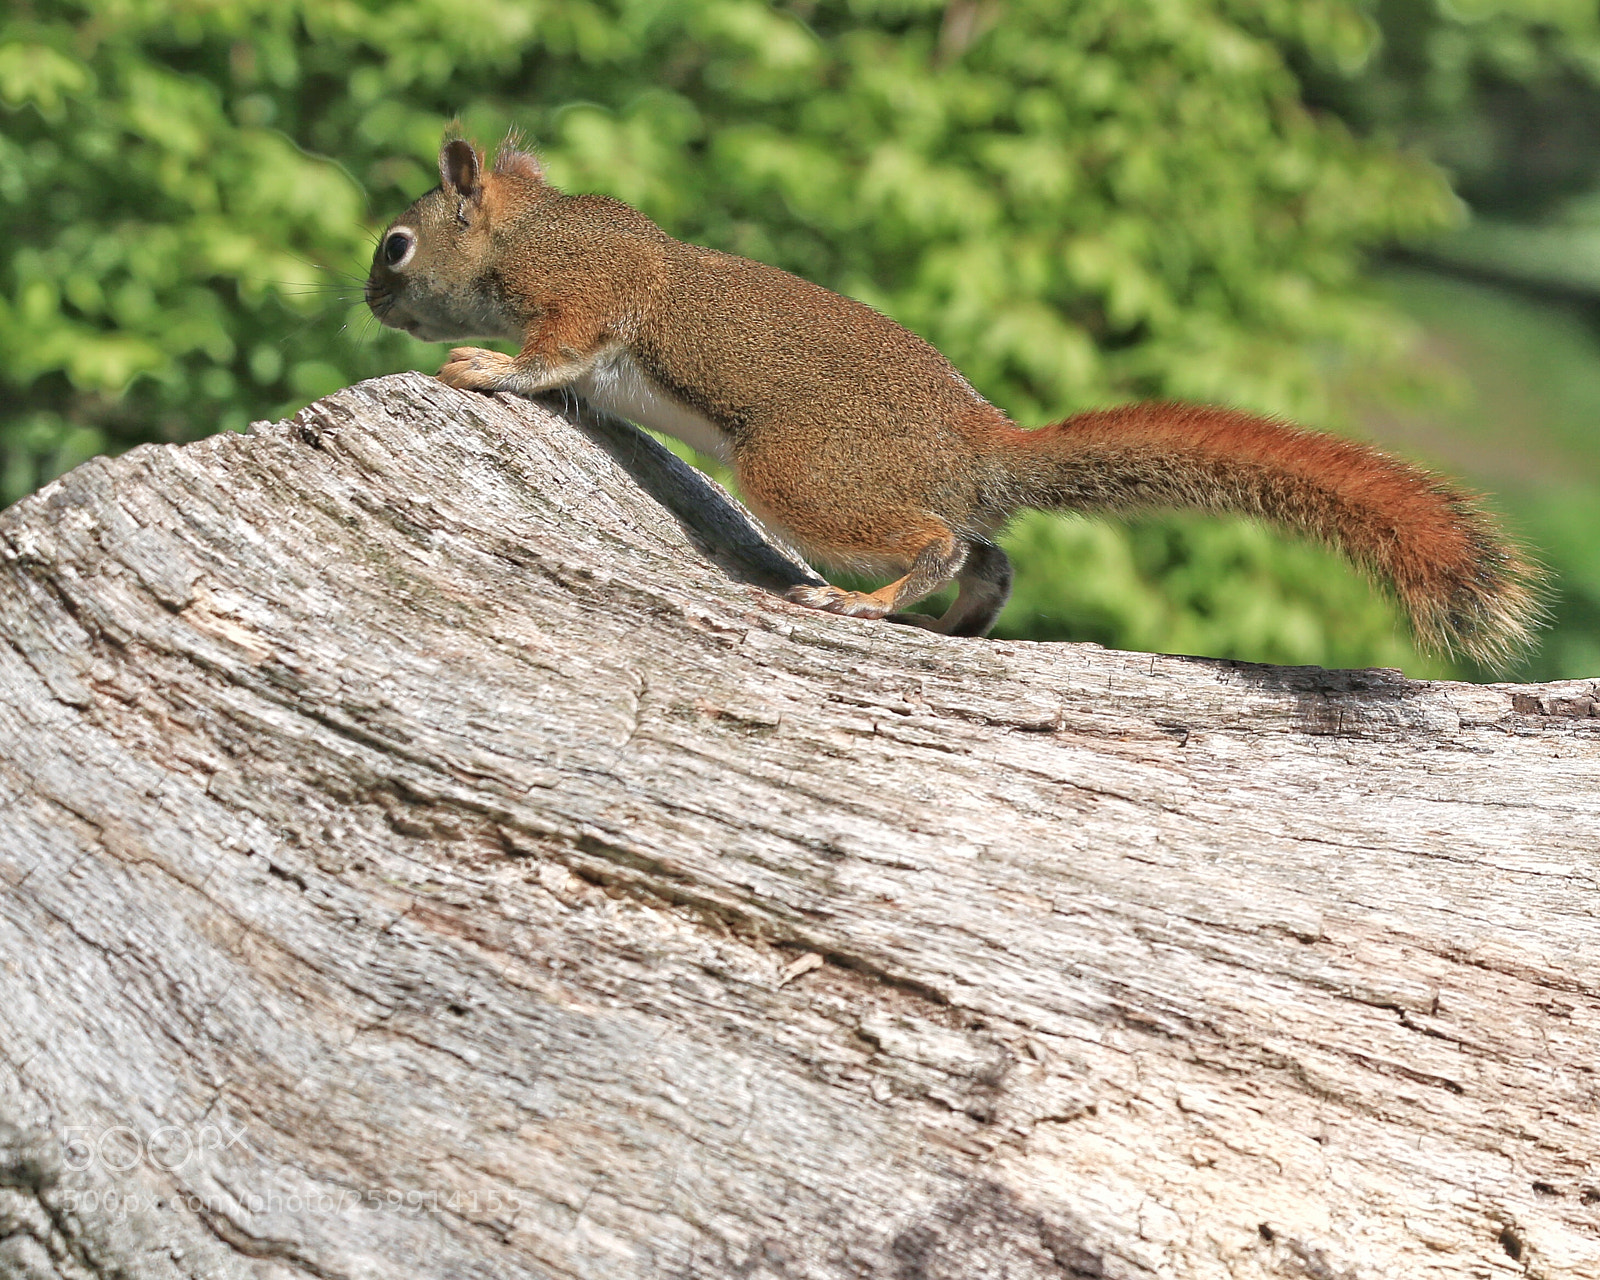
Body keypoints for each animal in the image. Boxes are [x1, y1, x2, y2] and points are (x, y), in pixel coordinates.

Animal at [365, 133, 1544, 667]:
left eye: (396, 246)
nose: (371, 301)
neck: (529, 225)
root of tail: (983, 444)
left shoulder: (584, 295)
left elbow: (555, 357)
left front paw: (485, 369)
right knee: (992, 555)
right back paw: (961, 623)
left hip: (800, 468)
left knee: (933, 539)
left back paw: (873, 603)